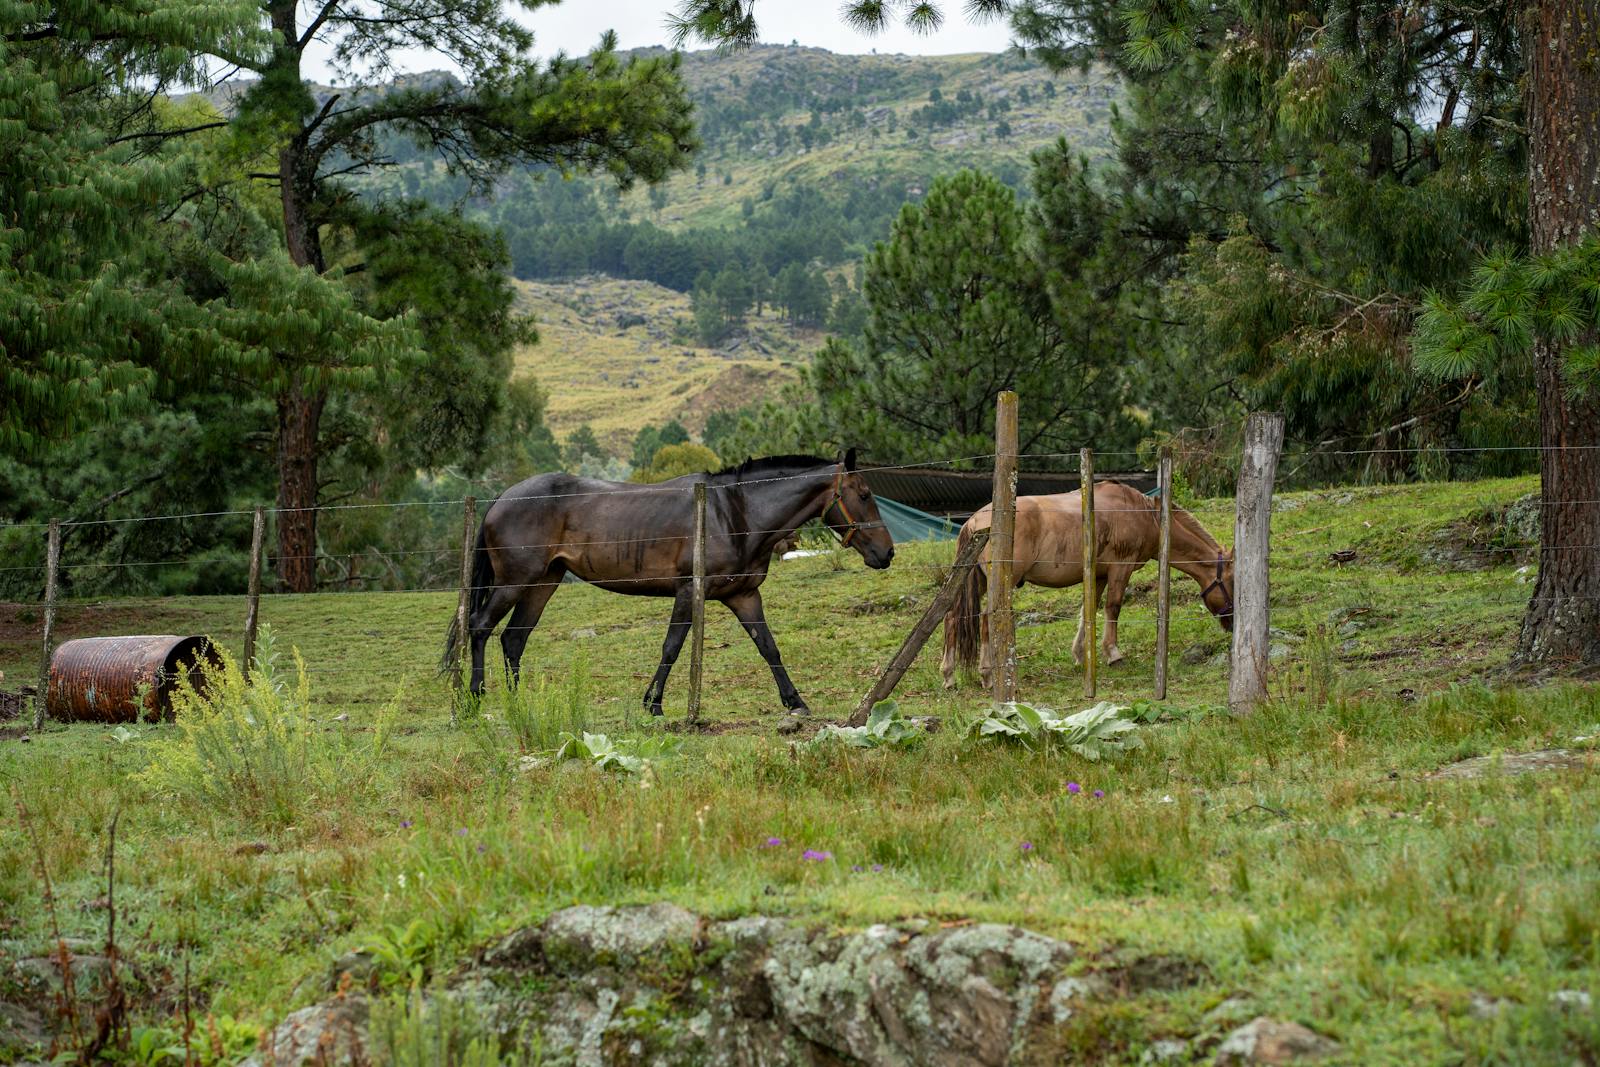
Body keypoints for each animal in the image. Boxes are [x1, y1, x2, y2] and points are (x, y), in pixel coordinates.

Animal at [443, 451, 895, 715]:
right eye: (865, 494)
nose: (887, 553)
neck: (735, 512)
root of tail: (499, 501)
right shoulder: (688, 592)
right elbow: (672, 646)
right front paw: (653, 704)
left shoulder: (744, 595)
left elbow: (768, 646)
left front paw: (795, 702)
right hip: (516, 582)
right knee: (480, 628)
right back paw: (475, 697)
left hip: (542, 584)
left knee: (513, 639)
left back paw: (519, 703)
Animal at [942, 481, 1233, 688]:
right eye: (1232, 582)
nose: (1231, 623)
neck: (1144, 515)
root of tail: (974, 521)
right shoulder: (1120, 569)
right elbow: (1113, 608)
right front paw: (1113, 654)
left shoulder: (1098, 575)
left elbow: (1089, 610)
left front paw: (1081, 655)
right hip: (1001, 582)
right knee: (986, 619)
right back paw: (988, 673)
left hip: (973, 581)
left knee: (952, 618)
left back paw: (949, 675)